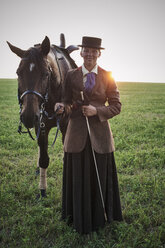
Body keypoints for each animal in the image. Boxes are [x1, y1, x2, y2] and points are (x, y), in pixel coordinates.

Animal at [7, 34, 78, 198]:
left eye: (46, 74)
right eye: (18, 73)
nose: (28, 116)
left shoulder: (65, 125)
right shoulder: (41, 124)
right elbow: (43, 158)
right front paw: (42, 190)